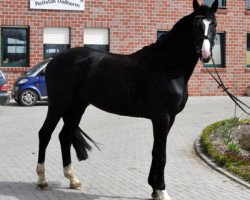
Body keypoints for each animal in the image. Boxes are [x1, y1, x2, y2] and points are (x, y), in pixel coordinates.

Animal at [36, 0, 218, 199]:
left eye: (214, 24)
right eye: (196, 24)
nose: (205, 53)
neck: (167, 66)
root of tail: (53, 60)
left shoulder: (170, 119)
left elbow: (156, 151)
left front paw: (154, 189)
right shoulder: (162, 118)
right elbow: (161, 154)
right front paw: (162, 191)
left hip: (77, 106)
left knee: (65, 136)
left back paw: (73, 179)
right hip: (58, 104)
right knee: (45, 134)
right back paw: (42, 180)